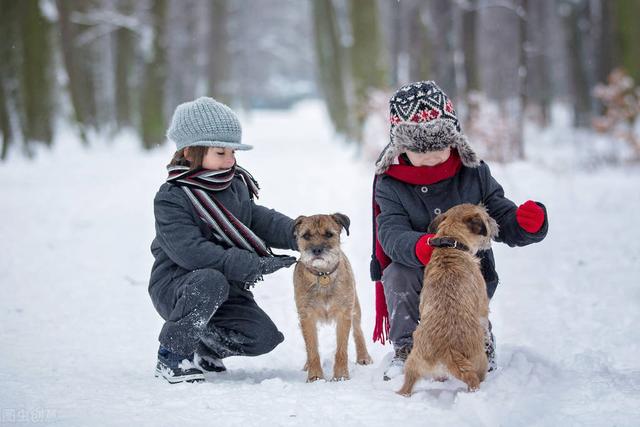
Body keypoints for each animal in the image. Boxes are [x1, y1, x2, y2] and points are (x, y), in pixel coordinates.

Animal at [292, 214, 372, 382]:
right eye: (306, 236)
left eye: (329, 234)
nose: (317, 250)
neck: (323, 275)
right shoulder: (306, 317)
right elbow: (312, 348)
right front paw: (315, 376)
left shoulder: (344, 314)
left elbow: (341, 349)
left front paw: (341, 376)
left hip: (355, 308)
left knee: (358, 330)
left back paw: (363, 356)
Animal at [396, 204, 500, 394]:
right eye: (486, 216)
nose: (495, 223)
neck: (451, 246)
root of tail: (448, 350)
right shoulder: (483, 307)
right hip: (478, 362)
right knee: (477, 380)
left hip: (413, 362)